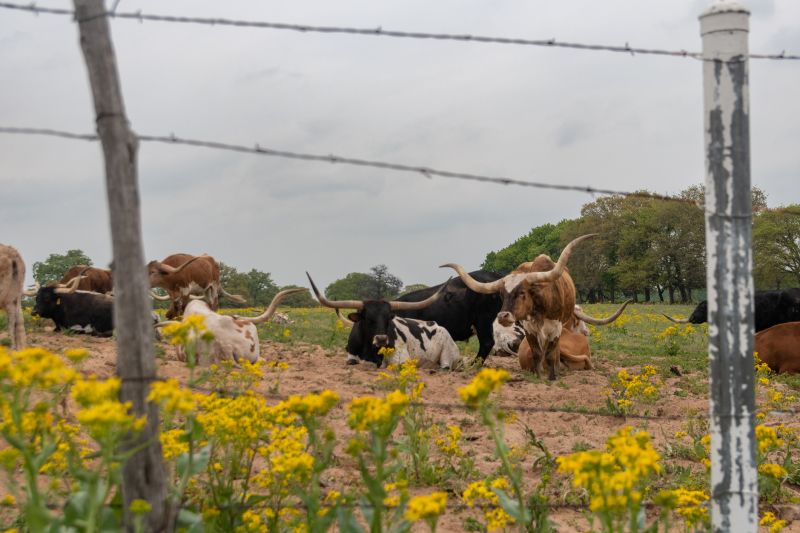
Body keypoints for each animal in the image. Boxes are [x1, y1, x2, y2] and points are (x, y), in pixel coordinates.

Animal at [307, 273, 461, 370]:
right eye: (367, 318)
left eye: (388, 318)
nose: (381, 339)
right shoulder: (351, 355)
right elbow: (352, 362)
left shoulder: (401, 358)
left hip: (448, 354)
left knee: (445, 367)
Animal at [442, 234, 618, 380]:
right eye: (502, 295)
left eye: (522, 292)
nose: (502, 316)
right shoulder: (529, 329)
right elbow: (537, 353)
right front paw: (539, 375)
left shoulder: (556, 328)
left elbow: (550, 354)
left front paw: (551, 377)